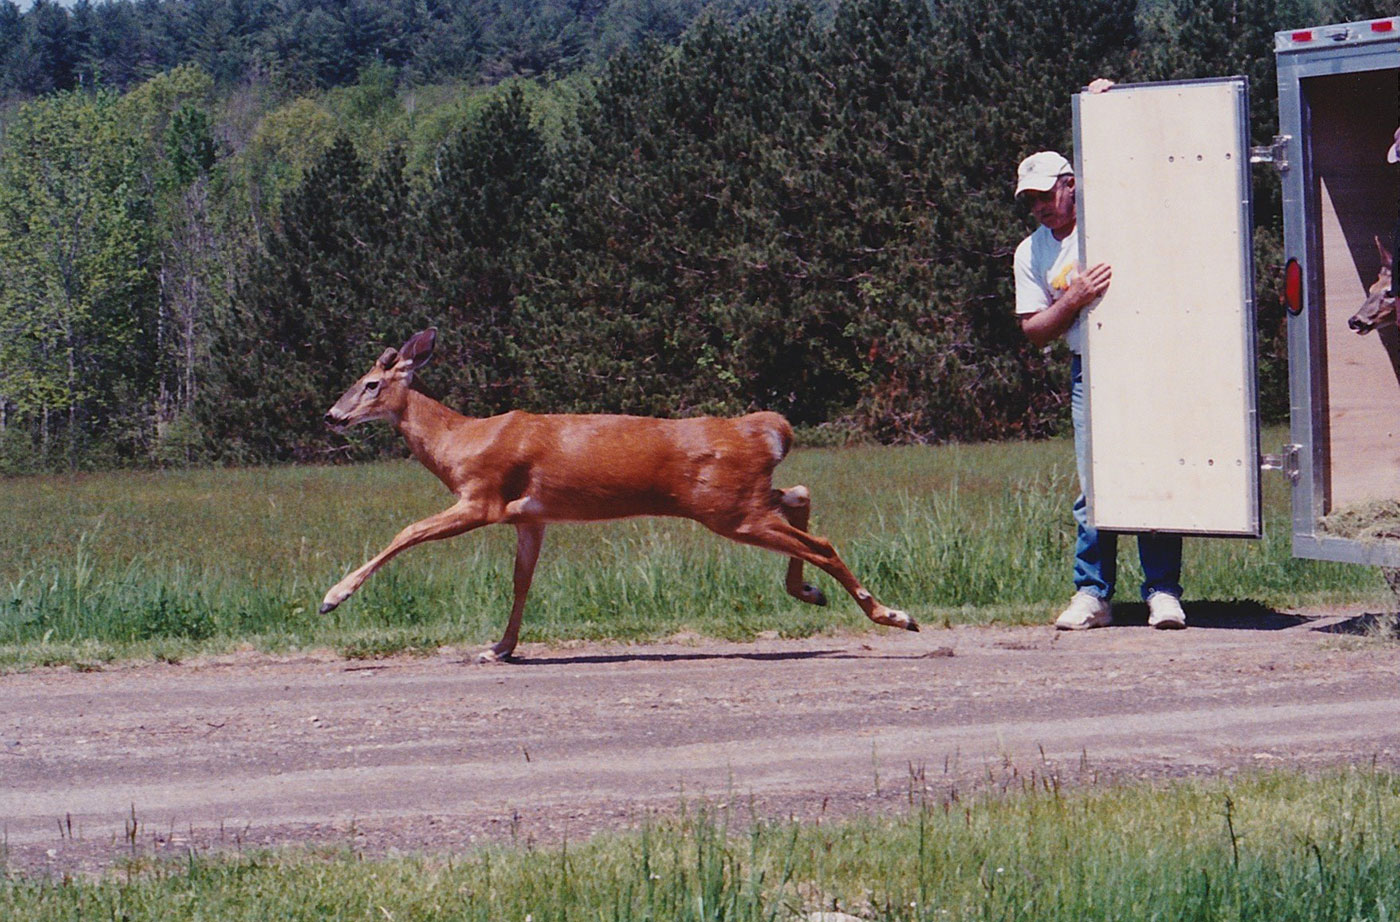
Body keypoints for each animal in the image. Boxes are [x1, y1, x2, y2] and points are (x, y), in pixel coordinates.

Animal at [320, 328, 918, 660]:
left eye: (371, 383)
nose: (331, 416)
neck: (457, 442)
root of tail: (768, 430)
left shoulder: (482, 497)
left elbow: (408, 532)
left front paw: (333, 596)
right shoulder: (530, 516)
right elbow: (521, 582)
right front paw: (501, 648)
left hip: (729, 509)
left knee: (821, 542)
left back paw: (893, 614)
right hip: (743, 500)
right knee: (800, 496)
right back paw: (812, 593)